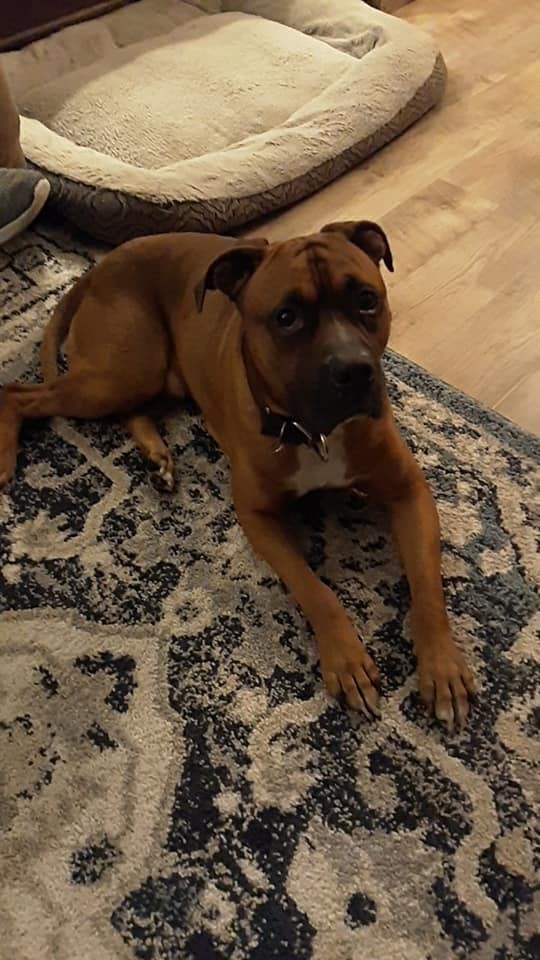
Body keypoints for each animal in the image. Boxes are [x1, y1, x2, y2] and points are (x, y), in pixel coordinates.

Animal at [0, 221, 472, 728]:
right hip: (122, 372)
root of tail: (101, 266)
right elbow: (315, 590)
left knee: (128, 409)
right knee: (19, 393)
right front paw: (346, 660)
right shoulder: (258, 518)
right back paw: (7, 456)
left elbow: (426, 584)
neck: (314, 433)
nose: (354, 371)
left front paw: (442, 665)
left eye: (366, 299)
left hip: (148, 378)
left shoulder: (410, 492)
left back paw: (156, 455)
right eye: (286, 317)